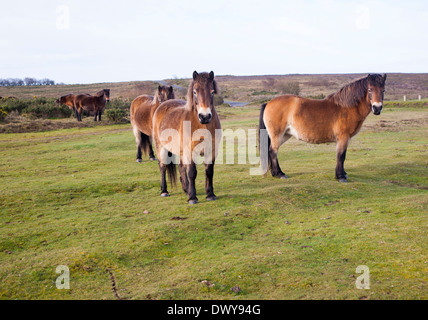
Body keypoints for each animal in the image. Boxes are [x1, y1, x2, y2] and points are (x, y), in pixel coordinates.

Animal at [152, 71, 221, 204]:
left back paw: (186, 189)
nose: (205, 116)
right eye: (195, 92)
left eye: (212, 91)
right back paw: (164, 191)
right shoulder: (190, 152)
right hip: (161, 147)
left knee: (180, 166)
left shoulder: (211, 151)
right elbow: (192, 173)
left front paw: (210, 194)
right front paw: (192, 197)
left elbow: (209, 171)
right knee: (162, 166)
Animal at [258, 73, 388, 181]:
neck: (346, 108)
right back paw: (280, 174)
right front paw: (340, 176)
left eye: (383, 90)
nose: (377, 108)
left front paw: (343, 174)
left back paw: (275, 173)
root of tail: (269, 103)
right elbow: (341, 156)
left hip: (285, 135)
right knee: (273, 151)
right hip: (277, 135)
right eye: (370, 89)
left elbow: (342, 156)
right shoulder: (343, 138)